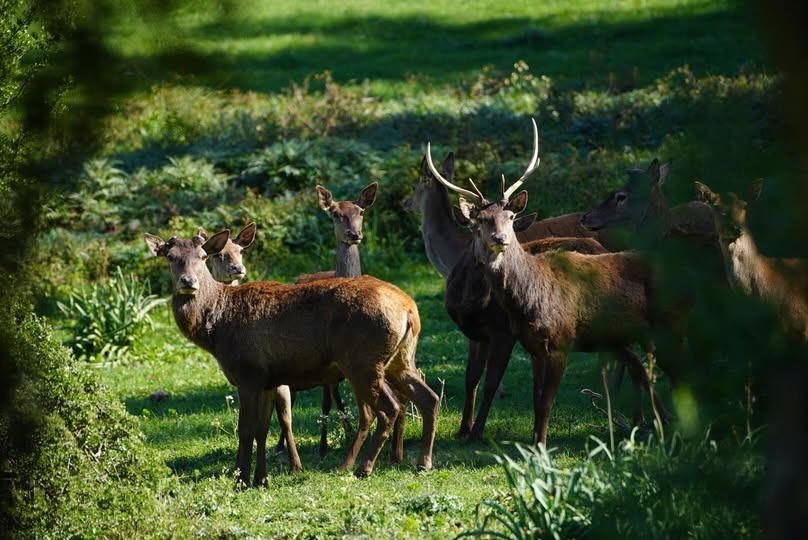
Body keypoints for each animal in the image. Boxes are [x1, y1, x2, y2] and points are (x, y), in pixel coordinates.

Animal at [144, 231, 439, 482]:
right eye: (171, 257)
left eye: (203, 256)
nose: (188, 282)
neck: (215, 328)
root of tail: (410, 310)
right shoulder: (267, 379)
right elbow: (263, 429)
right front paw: (261, 479)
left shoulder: (248, 372)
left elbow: (246, 429)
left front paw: (241, 479)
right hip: (400, 359)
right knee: (429, 397)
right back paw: (423, 462)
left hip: (363, 361)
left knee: (389, 408)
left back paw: (363, 468)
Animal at [426, 118, 680, 445]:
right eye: (479, 221)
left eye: (510, 216)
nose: (500, 238)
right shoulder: (492, 337)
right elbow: (478, 380)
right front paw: (467, 430)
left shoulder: (515, 335)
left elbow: (501, 385)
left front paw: (486, 434)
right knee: (640, 367)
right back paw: (646, 422)